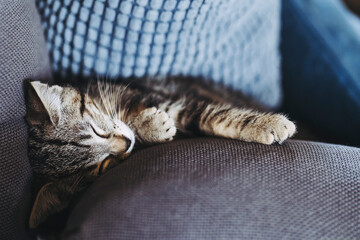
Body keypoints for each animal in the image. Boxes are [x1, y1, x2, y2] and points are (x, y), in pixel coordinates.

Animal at [24, 77, 296, 229]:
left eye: (97, 132)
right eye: (100, 167)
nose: (126, 143)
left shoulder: (158, 97)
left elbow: (210, 114)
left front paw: (267, 124)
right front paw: (152, 126)